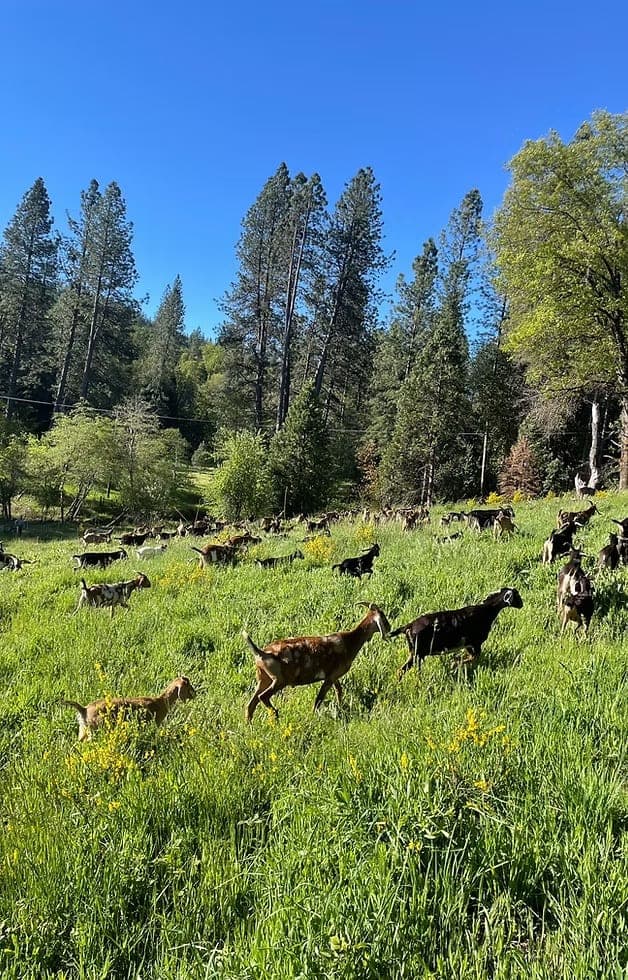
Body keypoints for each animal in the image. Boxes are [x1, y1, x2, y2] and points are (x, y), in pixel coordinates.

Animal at [61, 675, 196, 741]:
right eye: (189, 686)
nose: (195, 694)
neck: (160, 702)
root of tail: (83, 709)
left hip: (83, 729)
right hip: (95, 728)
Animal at [243, 602, 390, 722]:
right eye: (383, 617)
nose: (389, 628)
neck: (349, 642)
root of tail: (261, 653)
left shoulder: (333, 675)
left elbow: (339, 690)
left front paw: (341, 708)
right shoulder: (330, 677)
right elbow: (319, 699)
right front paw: (314, 716)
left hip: (263, 678)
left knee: (251, 704)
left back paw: (250, 726)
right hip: (279, 680)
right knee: (262, 697)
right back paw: (275, 714)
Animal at [390, 587, 524, 676]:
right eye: (517, 596)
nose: (522, 604)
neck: (485, 610)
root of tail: (409, 626)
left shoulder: (468, 645)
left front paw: (454, 663)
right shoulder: (475, 643)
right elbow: (472, 658)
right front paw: (454, 664)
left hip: (416, 654)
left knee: (402, 671)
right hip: (417, 654)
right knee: (402, 670)